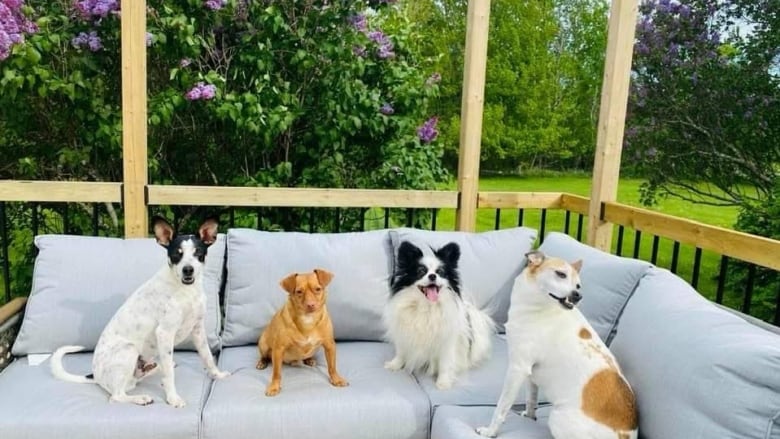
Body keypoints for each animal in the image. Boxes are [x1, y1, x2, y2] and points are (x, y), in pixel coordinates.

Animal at [49, 218, 229, 408]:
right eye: (176, 254)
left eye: (198, 253)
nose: (188, 270)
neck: (186, 290)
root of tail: (95, 375)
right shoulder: (165, 333)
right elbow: (170, 375)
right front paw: (173, 398)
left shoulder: (197, 330)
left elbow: (207, 357)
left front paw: (217, 375)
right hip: (129, 350)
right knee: (116, 396)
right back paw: (141, 397)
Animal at [256, 270, 348, 398]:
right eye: (299, 292)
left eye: (318, 289)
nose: (311, 304)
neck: (308, 320)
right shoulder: (278, 349)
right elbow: (276, 373)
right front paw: (274, 387)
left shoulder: (330, 345)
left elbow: (332, 367)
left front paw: (336, 379)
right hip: (263, 344)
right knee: (264, 356)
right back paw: (262, 362)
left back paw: (309, 360)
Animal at [382, 241, 494, 388]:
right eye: (421, 271)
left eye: (440, 272)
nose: (432, 276)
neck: (427, 306)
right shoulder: (404, 335)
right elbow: (401, 352)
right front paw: (394, 365)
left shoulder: (447, 342)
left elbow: (445, 364)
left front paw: (443, 382)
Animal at [472, 251, 636, 439]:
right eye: (560, 274)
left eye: (578, 285)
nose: (577, 295)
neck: (540, 308)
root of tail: (627, 435)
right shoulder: (530, 374)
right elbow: (531, 399)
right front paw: (530, 417)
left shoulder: (517, 368)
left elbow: (501, 407)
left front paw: (490, 431)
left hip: (556, 417)